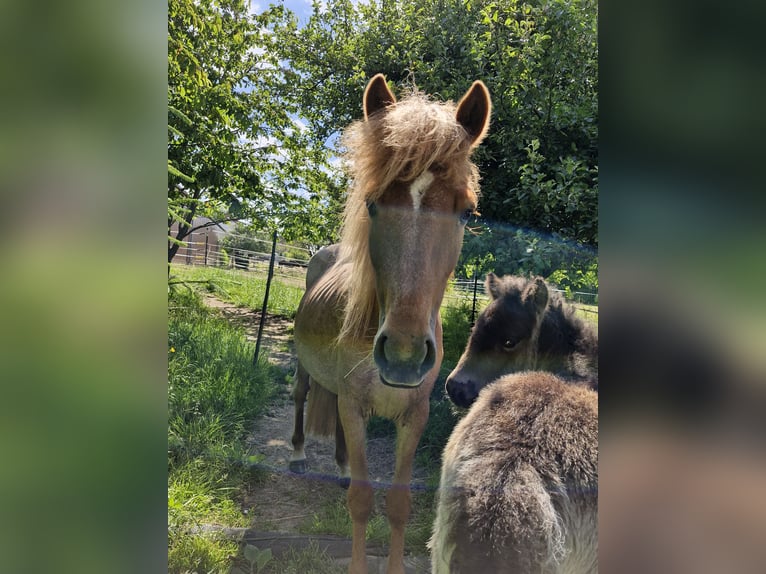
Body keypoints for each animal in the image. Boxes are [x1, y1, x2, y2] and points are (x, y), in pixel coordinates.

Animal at [288, 73, 492, 574]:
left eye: (466, 211)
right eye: (373, 204)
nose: (403, 355)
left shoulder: (413, 416)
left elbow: (398, 504)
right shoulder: (354, 406)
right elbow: (363, 502)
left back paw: (342, 467)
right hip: (305, 367)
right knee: (301, 395)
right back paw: (299, 454)